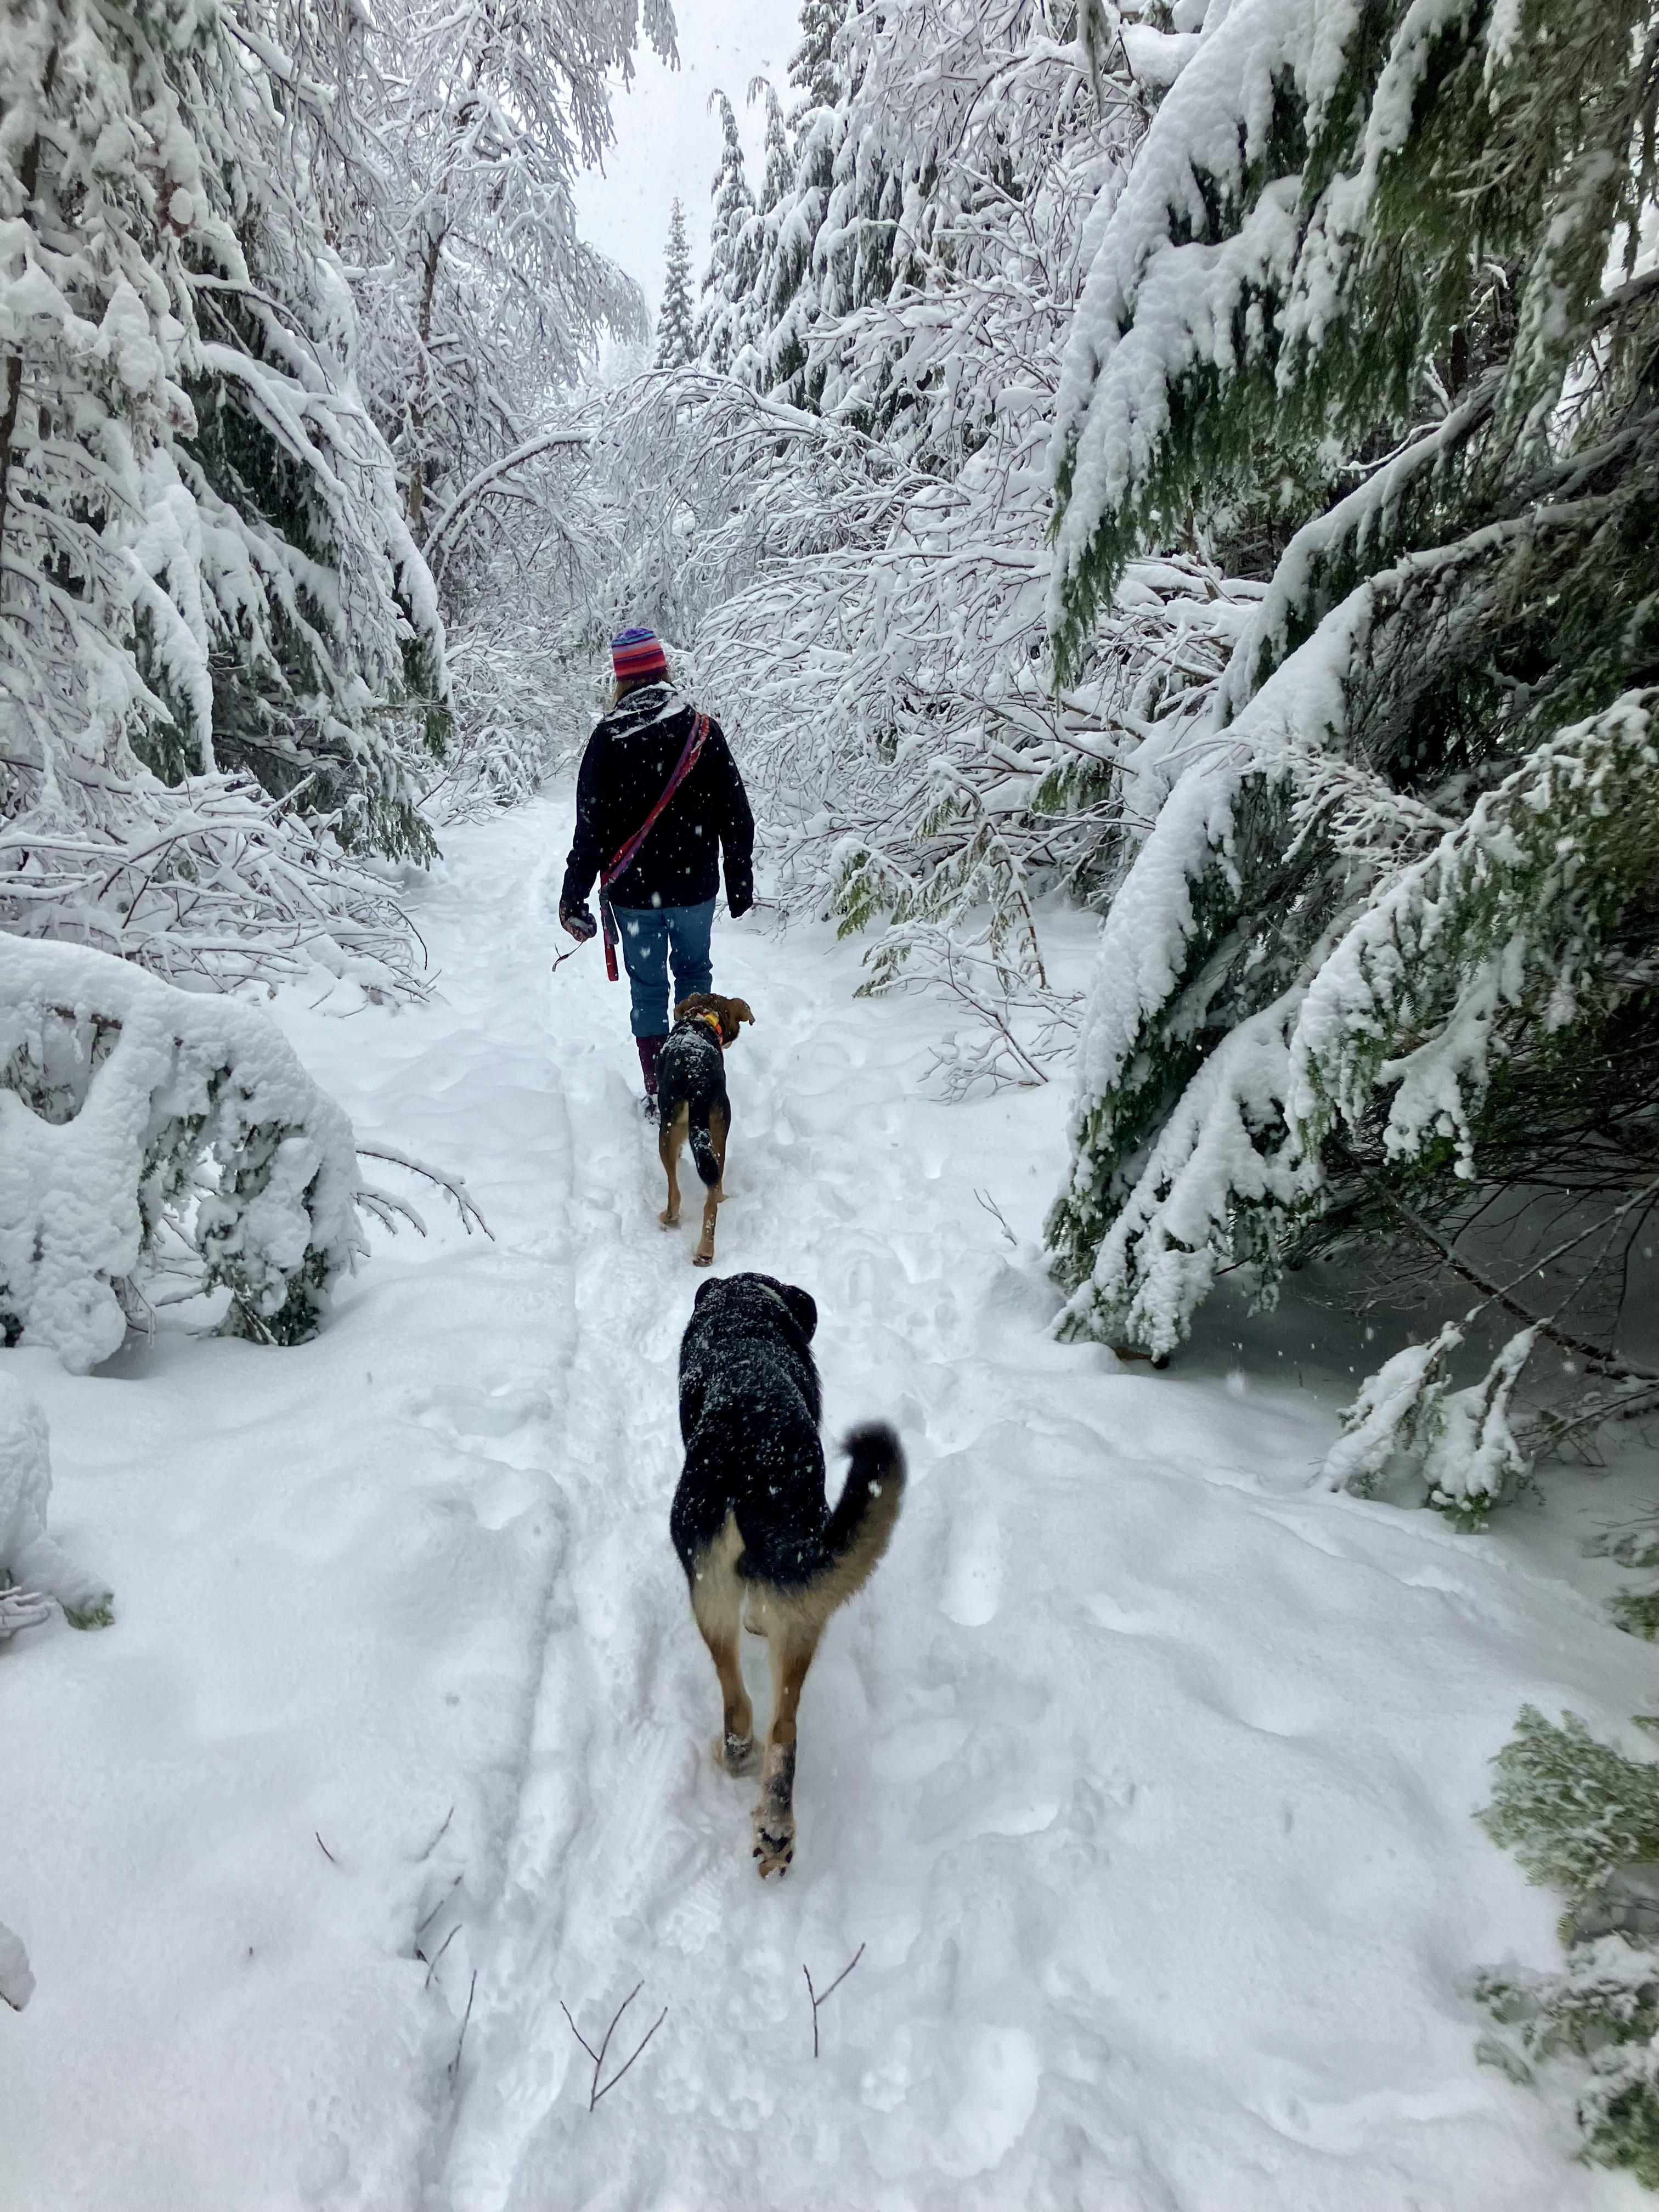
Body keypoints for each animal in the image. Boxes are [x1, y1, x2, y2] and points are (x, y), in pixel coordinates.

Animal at [656, 992, 754, 1267]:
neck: (703, 1018)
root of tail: (698, 1078)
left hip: (668, 1130)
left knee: (675, 1194)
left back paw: (669, 1218)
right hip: (719, 1129)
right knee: (713, 1193)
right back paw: (705, 1251)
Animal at [671, 1273, 905, 1877]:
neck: (746, 1316)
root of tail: (751, 1460)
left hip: (717, 1587)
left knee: (754, 1708)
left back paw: (755, 1794)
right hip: (782, 1597)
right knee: (773, 1719)